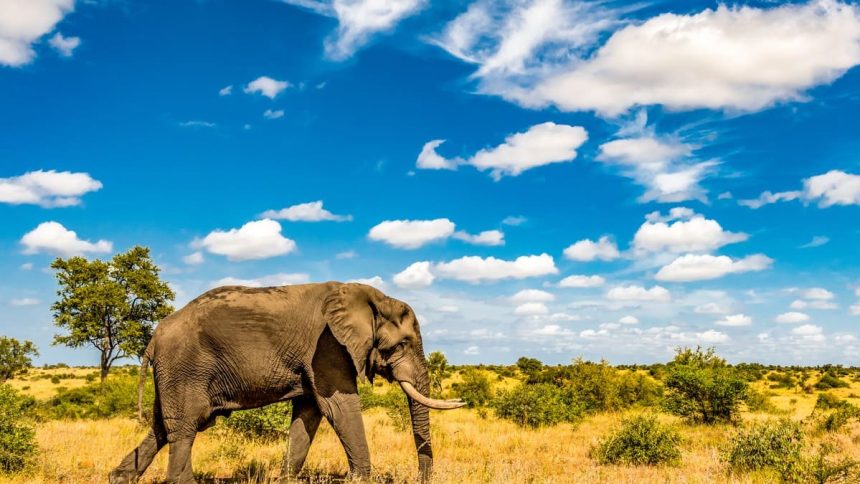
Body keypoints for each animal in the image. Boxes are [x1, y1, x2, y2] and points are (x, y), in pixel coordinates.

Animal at [109, 281, 463, 483]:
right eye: (403, 344)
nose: (421, 478)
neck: (374, 298)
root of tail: (155, 337)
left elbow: (309, 412)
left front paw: (287, 478)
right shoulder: (328, 346)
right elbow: (339, 407)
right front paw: (360, 479)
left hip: (173, 371)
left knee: (162, 426)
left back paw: (119, 477)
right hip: (185, 366)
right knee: (184, 426)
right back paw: (182, 482)